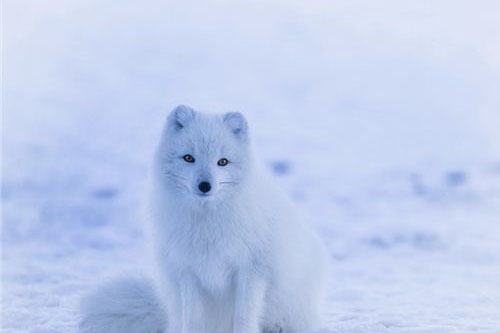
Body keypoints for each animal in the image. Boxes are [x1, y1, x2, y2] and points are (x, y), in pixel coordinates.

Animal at [79, 105, 326, 332]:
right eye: (189, 158)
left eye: (222, 162)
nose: (205, 186)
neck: (208, 224)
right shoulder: (188, 271)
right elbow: (193, 319)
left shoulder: (252, 270)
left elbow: (244, 318)